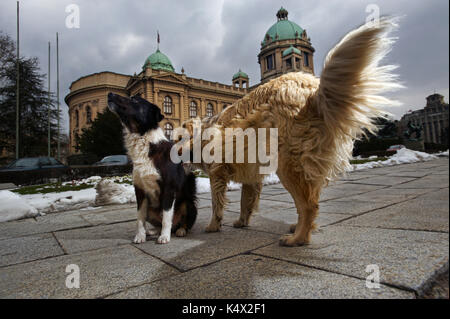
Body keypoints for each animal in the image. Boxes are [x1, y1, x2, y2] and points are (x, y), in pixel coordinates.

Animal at [107, 92, 197, 245]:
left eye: (134, 100)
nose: (110, 94)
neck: (145, 141)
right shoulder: (140, 191)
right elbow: (140, 218)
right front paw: (140, 236)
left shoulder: (168, 188)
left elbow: (167, 216)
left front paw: (164, 237)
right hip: (150, 207)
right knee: (158, 223)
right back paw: (153, 231)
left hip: (189, 203)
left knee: (181, 222)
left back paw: (180, 230)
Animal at [178, 18, 400, 248]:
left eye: (177, 139)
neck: (203, 133)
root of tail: (312, 92)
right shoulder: (251, 179)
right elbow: (245, 203)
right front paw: (241, 222)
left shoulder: (217, 175)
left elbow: (217, 204)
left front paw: (214, 226)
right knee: (311, 201)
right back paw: (301, 228)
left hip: (287, 166)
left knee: (309, 205)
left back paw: (297, 238)